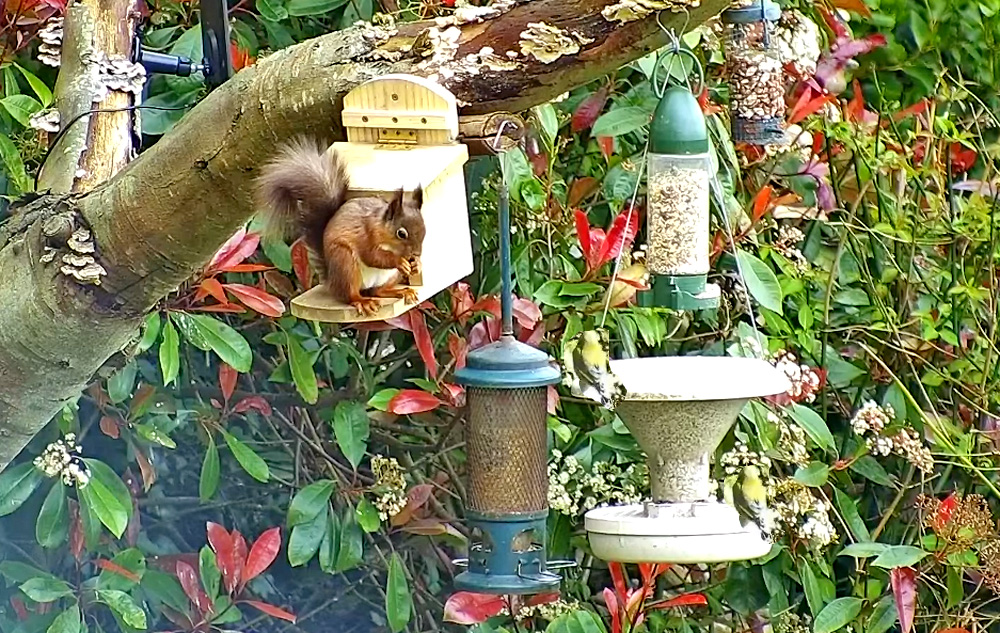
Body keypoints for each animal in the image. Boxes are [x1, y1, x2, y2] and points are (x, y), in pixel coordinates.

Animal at [254, 136, 426, 317]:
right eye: (401, 233)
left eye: (424, 229)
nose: (416, 254)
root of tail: (331, 281)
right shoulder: (367, 234)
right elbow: (373, 256)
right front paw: (399, 261)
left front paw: (417, 264)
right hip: (345, 263)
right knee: (350, 295)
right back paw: (363, 302)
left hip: (389, 276)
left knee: (377, 291)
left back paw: (402, 291)